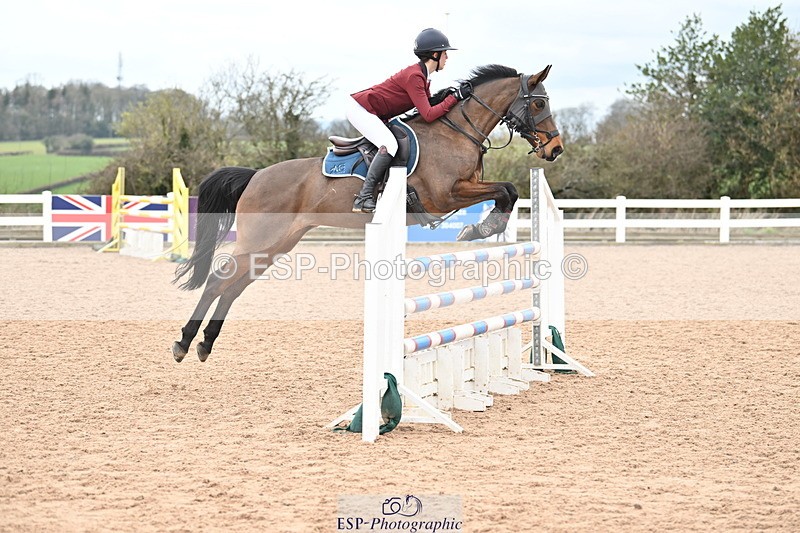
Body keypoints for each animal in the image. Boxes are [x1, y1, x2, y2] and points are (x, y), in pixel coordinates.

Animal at [171, 64, 564, 362]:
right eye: (539, 103)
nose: (556, 149)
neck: (457, 132)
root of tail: (255, 176)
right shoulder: (445, 195)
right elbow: (506, 190)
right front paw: (480, 229)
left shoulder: (462, 190)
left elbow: (508, 191)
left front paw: (483, 227)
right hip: (259, 241)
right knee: (218, 281)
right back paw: (184, 342)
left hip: (275, 246)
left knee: (233, 288)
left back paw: (205, 344)